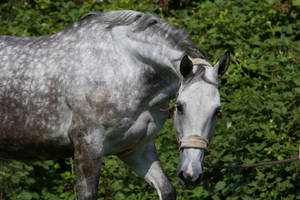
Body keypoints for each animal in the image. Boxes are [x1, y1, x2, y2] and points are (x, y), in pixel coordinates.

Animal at [0, 10, 230, 199]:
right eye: (180, 107)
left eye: (217, 111)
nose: (190, 175)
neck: (124, 68)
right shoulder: (88, 148)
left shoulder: (136, 149)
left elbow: (166, 190)